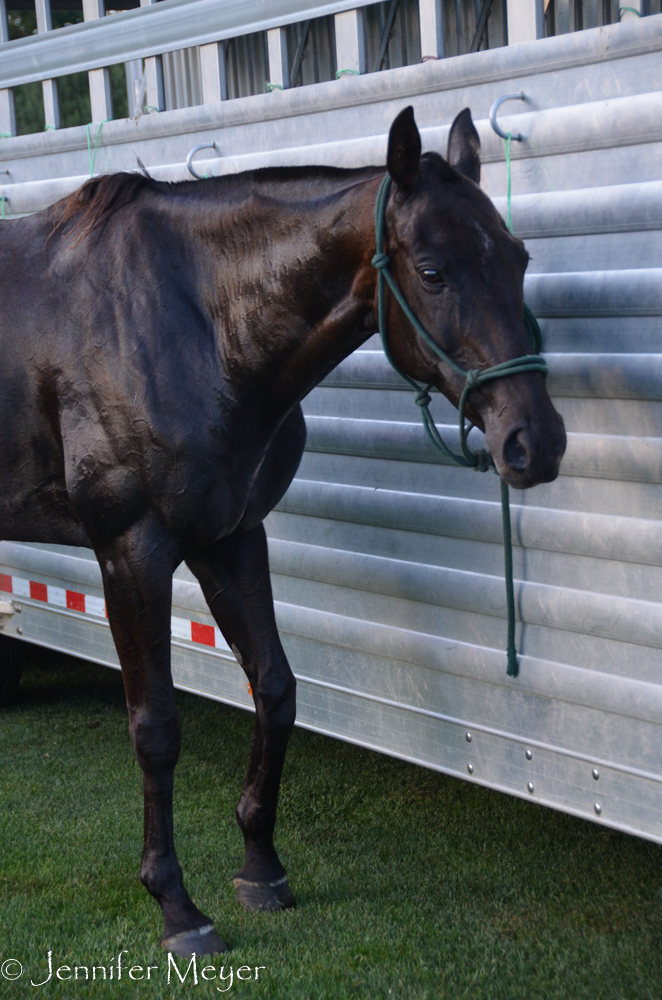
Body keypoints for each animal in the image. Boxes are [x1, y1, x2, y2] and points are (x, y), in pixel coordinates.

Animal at [1, 107, 564, 952]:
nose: (536, 442)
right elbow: (156, 726)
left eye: (521, 258)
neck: (196, 323)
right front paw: (177, 905)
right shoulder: (132, 551)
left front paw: (259, 865)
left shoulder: (232, 538)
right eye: (434, 272)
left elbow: (275, 688)